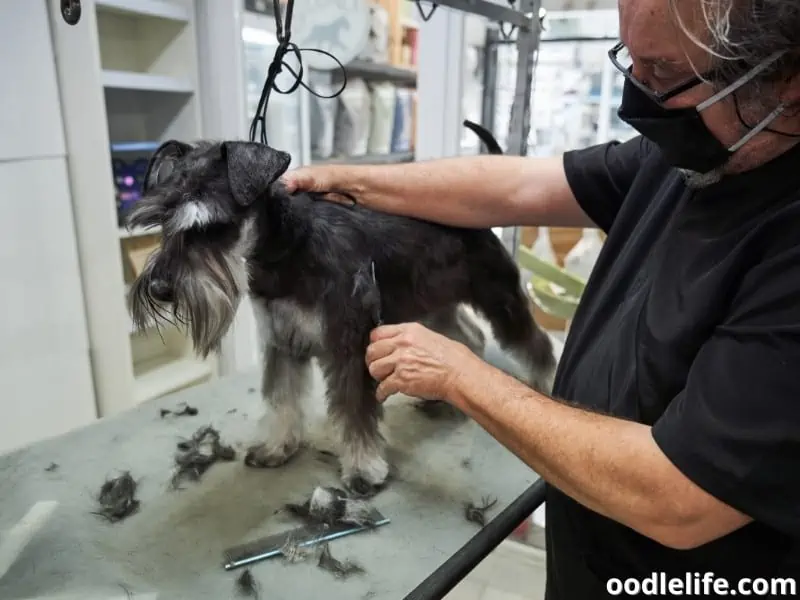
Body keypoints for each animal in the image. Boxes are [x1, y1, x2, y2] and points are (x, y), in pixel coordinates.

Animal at [126, 120, 556, 496]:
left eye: (211, 226)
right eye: (162, 221)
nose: (161, 289)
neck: (290, 249)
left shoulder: (350, 344)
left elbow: (354, 411)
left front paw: (364, 470)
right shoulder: (282, 342)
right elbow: (281, 400)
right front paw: (276, 448)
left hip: (498, 296)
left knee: (534, 342)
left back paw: (546, 385)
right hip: (434, 307)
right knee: (470, 335)